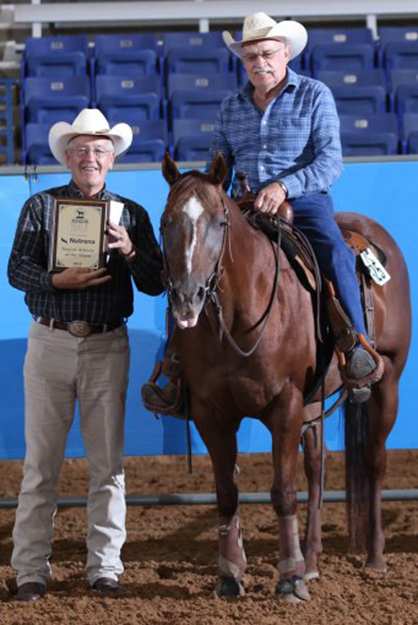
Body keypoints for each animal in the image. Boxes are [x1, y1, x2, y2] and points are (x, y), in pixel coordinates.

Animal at [159, 150, 412, 600]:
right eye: (165, 221)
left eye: (219, 222)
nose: (187, 298)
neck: (241, 315)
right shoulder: (210, 413)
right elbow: (227, 491)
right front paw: (231, 574)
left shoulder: (286, 405)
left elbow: (283, 492)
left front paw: (289, 578)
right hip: (315, 405)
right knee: (316, 467)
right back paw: (311, 560)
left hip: (389, 380)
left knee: (374, 461)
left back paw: (374, 557)